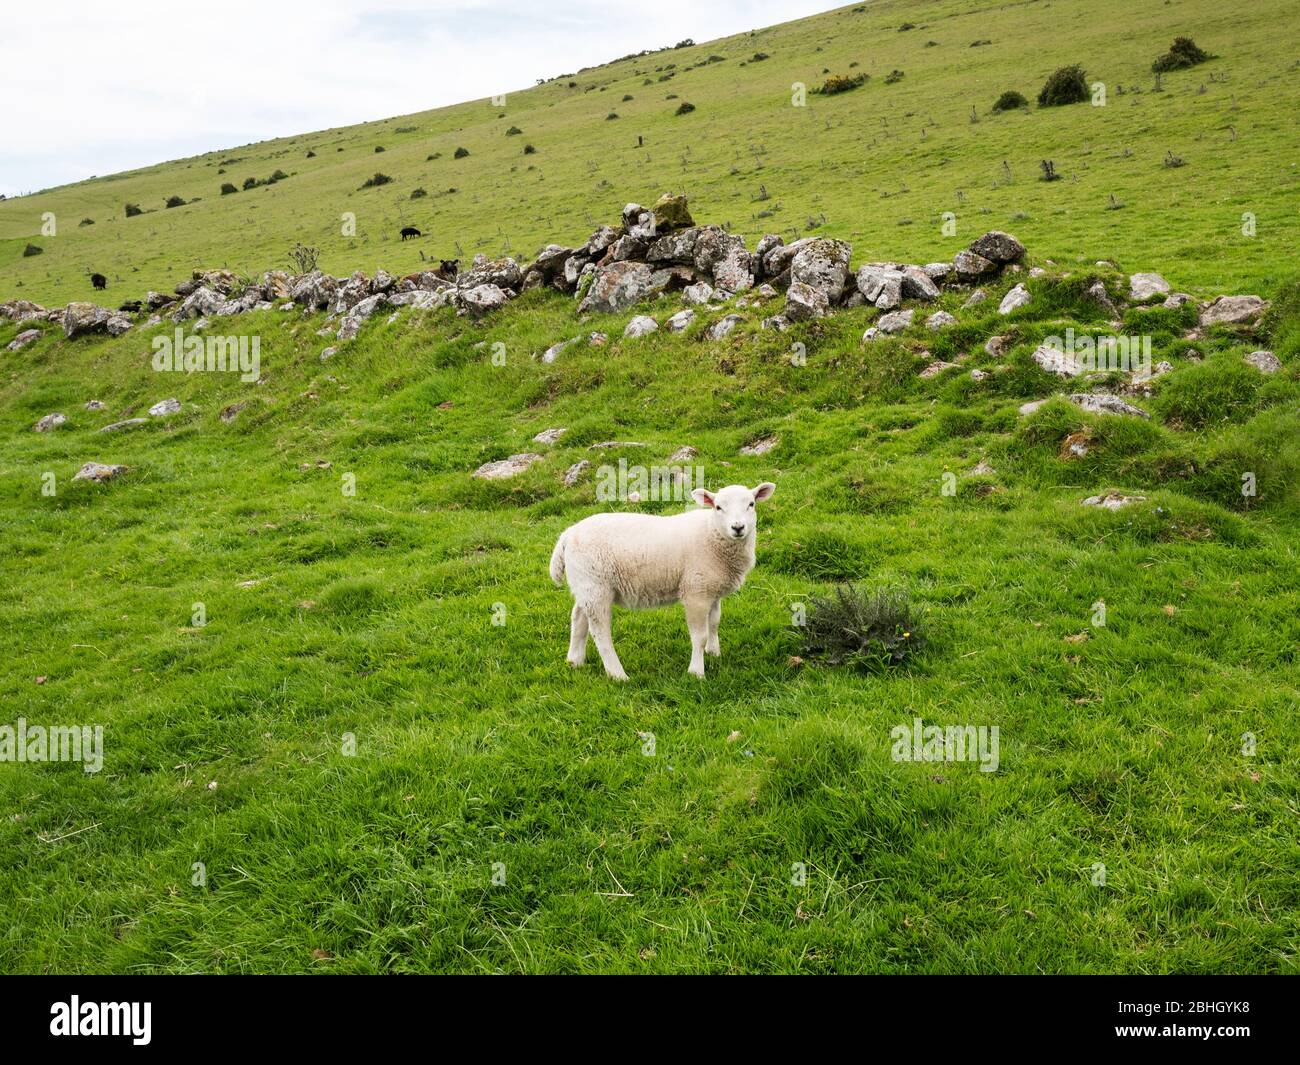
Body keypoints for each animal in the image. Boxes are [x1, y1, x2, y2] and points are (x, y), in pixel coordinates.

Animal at [546, 478, 769, 681]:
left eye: (751, 504)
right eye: (718, 507)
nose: (738, 527)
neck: (712, 533)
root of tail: (567, 535)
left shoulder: (712, 589)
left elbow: (714, 623)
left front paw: (714, 653)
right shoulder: (695, 591)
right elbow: (700, 636)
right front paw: (697, 672)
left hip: (585, 585)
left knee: (578, 617)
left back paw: (575, 661)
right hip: (596, 586)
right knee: (600, 633)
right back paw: (618, 675)